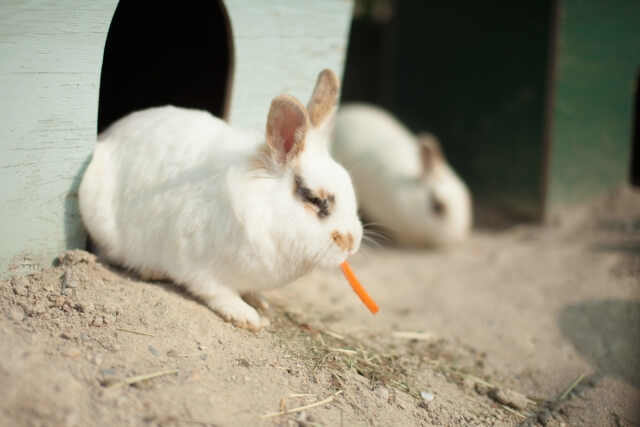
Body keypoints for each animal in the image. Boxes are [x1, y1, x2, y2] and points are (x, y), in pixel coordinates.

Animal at [77, 70, 362, 332]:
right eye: (314, 199)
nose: (351, 243)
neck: (267, 210)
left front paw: (261, 302)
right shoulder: (196, 263)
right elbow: (216, 292)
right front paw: (245, 316)